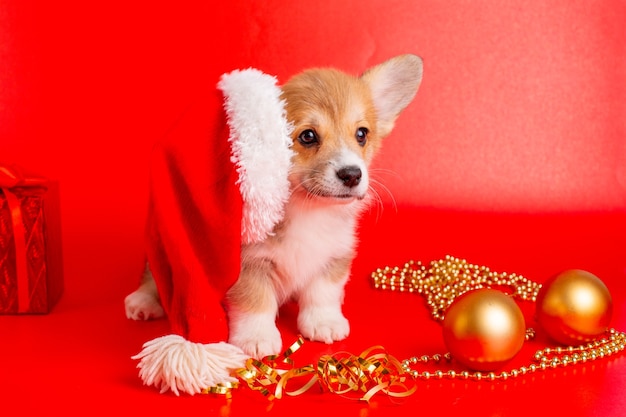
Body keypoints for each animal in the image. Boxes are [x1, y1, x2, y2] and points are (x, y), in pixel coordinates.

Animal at [124, 54, 422, 358]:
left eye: (361, 134)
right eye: (308, 136)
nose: (352, 174)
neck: (308, 209)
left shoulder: (335, 255)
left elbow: (323, 292)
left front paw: (323, 322)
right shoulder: (247, 263)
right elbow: (255, 302)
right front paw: (257, 338)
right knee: (154, 276)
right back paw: (142, 301)